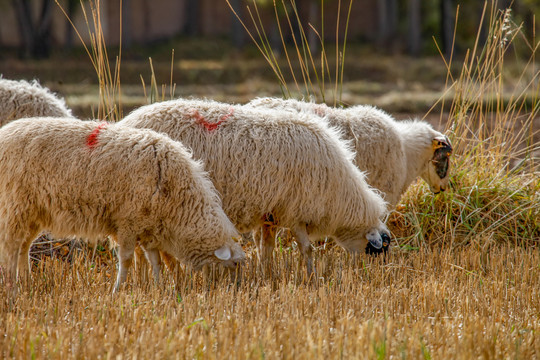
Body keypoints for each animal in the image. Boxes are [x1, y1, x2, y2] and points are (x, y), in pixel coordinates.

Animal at [0, 116, 245, 292]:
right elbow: (126, 259)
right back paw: (13, 289)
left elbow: (154, 260)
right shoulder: (128, 221)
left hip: (33, 212)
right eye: (234, 265)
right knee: (11, 247)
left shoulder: (148, 226)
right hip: (15, 205)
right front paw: (118, 289)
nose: (235, 289)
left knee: (23, 246)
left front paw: (158, 288)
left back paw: (27, 284)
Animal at [119, 97, 388, 274]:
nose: (377, 274)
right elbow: (306, 249)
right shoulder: (296, 211)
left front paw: (266, 274)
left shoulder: (271, 214)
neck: (340, 193)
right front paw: (311, 276)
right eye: (379, 250)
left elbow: (266, 249)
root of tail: (128, 121)